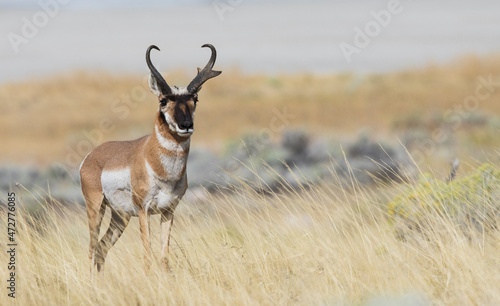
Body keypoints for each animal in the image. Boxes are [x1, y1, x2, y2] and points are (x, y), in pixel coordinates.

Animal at [79, 43, 221, 274]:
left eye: (195, 100)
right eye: (163, 100)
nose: (186, 125)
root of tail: (91, 155)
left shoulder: (168, 212)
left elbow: (164, 255)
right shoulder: (144, 211)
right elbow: (147, 255)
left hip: (121, 217)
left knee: (101, 247)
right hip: (96, 207)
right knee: (92, 247)